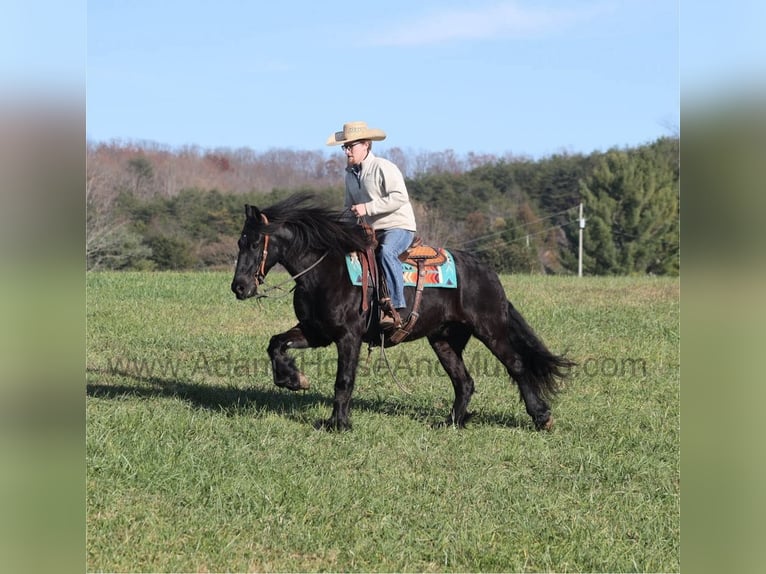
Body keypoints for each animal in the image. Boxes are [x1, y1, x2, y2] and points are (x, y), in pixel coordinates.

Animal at [231, 194, 572, 432]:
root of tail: (487, 271)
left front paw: (338, 423)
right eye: (239, 242)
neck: (326, 271)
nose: (239, 287)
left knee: (517, 365)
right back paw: (451, 422)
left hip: (491, 330)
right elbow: (276, 344)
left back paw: (542, 417)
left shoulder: (348, 336)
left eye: (254, 242)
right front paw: (293, 379)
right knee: (464, 381)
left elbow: (344, 380)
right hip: (444, 340)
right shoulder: (316, 331)